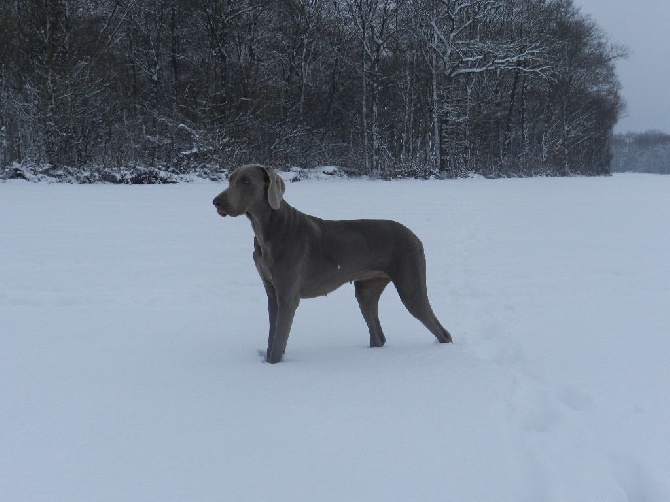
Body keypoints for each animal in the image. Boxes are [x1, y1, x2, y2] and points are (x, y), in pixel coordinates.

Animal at [214, 165, 456, 364]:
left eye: (246, 181)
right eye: (230, 179)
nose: (216, 201)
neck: (268, 230)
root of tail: (414, 235)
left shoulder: (288, 295)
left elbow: (278, 342)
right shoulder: (272, 291)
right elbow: (272, 336)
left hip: (410, 285)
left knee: (441, 330)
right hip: (367, 289)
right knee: (378, 335)